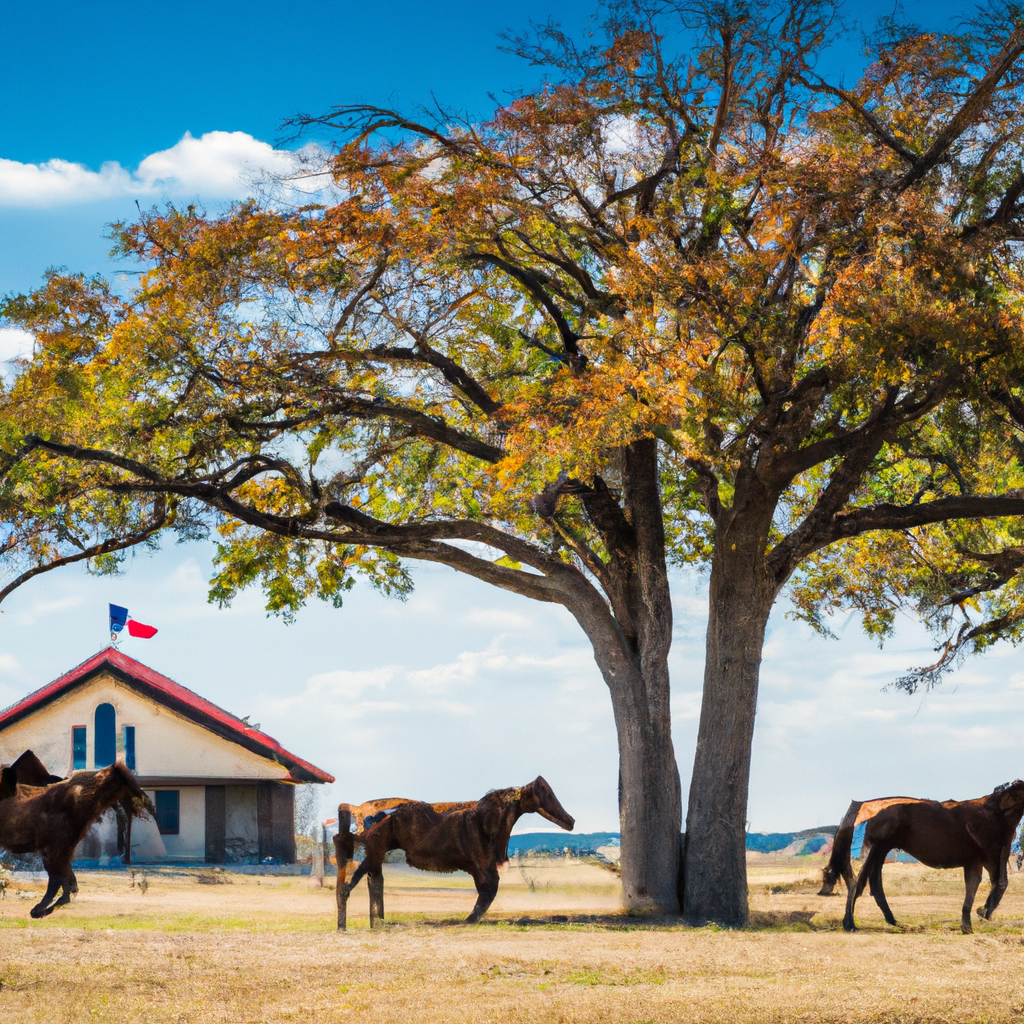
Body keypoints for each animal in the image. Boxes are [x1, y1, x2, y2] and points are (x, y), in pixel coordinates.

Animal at [0, 761, 154, 921]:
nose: (146, 802)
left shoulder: (58, 848)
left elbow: (61, 880)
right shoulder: (59, 848)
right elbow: (66, 880)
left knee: (58, 881)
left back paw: (40, 909)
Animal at [337, 774, 573, 929]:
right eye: (544, 792)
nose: (571, 821)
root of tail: (359, 809)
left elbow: (487, 890)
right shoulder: (482, 861)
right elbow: (488, 889)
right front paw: (467, 921)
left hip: (375, 850)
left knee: (370, 876)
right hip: (375, 847)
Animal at [843, 778, 1024, 933]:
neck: (995, 813)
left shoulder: (995, 856)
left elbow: (1000, 883)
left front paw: (981, 913)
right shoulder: (979, 859)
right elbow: (978, 885)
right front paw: (970, 923)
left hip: (880, 850)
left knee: (874, 884)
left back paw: (894, 921)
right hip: (870, 849)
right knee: (856, 883)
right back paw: (849, 924)